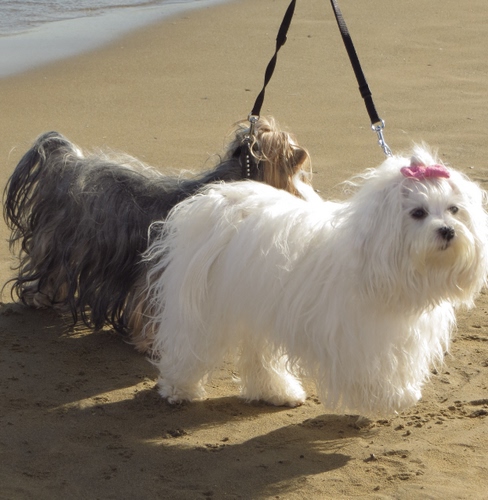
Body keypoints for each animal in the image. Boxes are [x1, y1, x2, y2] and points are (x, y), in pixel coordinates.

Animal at [138, 146, 488, 415]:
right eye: (417, 213)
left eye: (454, 209)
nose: (447, 231)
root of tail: (218, 199)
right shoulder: (359, 335)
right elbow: (371, 369)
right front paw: (390, 398)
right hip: (204, 307)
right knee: (190, 344)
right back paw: (179, 389)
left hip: (258, 307)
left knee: (259, 354)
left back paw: (277, 392)